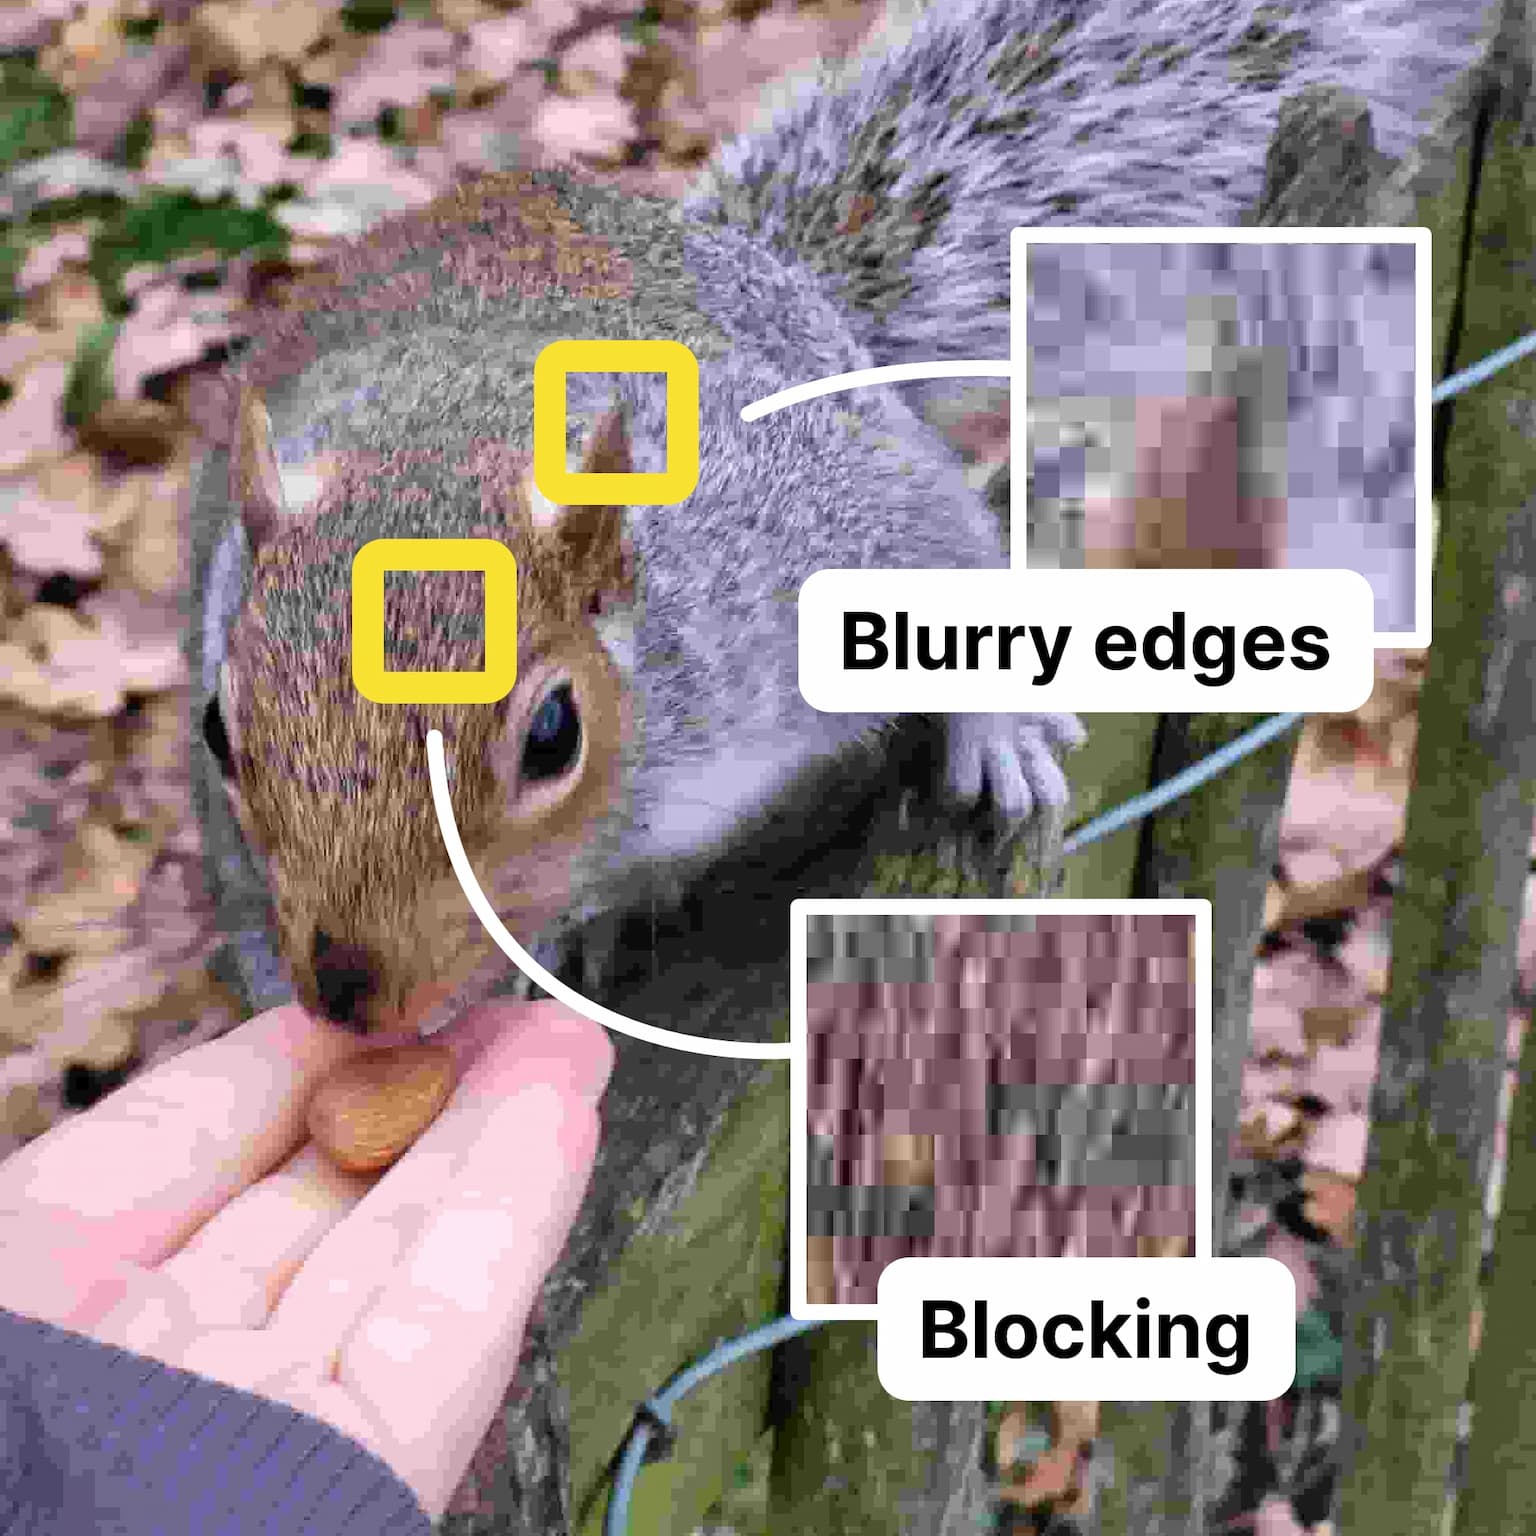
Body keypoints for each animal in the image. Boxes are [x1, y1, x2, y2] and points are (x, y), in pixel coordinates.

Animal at [189, 0, 1496, 1041]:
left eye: (553, 735)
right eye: (214, 729)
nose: (350, 996)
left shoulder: (808, 527)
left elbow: (939, 552)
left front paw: (995, 728)